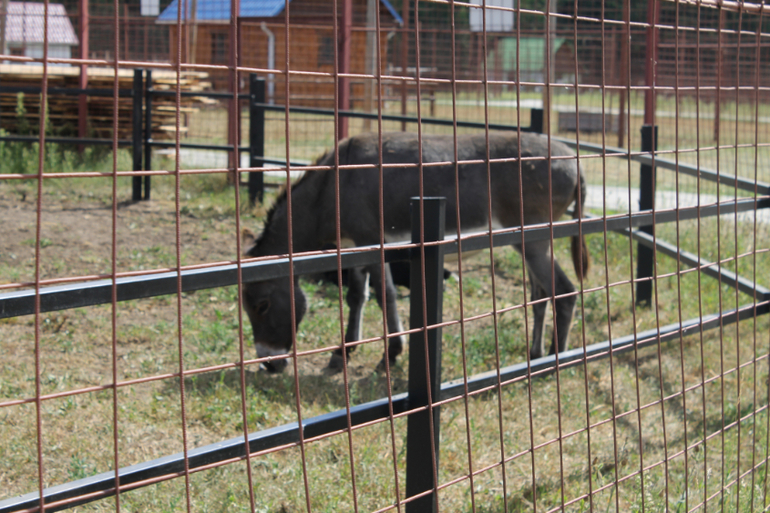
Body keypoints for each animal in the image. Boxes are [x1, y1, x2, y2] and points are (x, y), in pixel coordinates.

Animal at [241, 131, 589, 373]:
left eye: (262, 306)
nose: (269, 365)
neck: (332, 189)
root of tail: (574, 161)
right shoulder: (353, 248)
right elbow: (356, 297)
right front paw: (343, 353)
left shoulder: (372, 242)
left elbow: (385, 295)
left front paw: (391, 354)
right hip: (527, 241)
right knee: (541, 295)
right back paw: (535, 355)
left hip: (533, 240)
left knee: (565, 292)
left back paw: (555, 361)